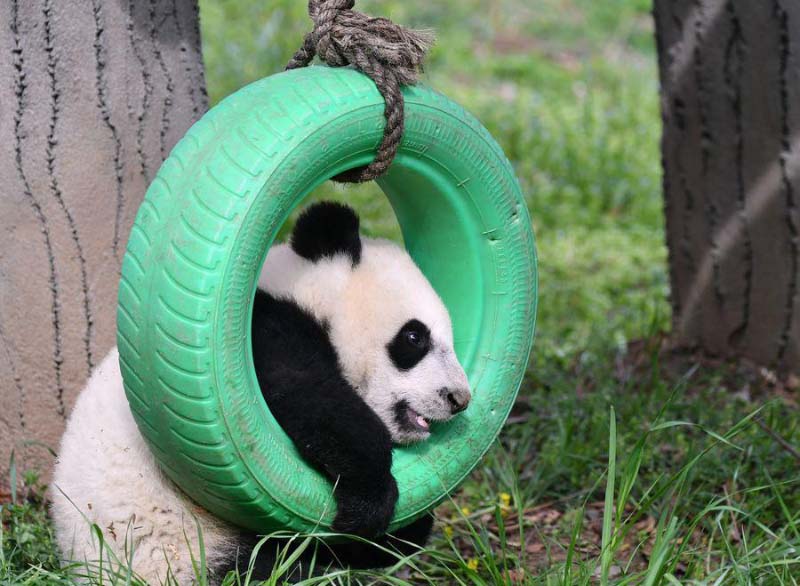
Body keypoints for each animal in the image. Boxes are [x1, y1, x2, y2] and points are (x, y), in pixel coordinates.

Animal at [50, 202, 468, 584]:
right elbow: (308, 396)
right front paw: (370, 497)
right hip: (181, 545)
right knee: (269, 568)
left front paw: (406, 526)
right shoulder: (263, 335)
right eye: (414, 337)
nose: (459, 399)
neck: (305, 291)